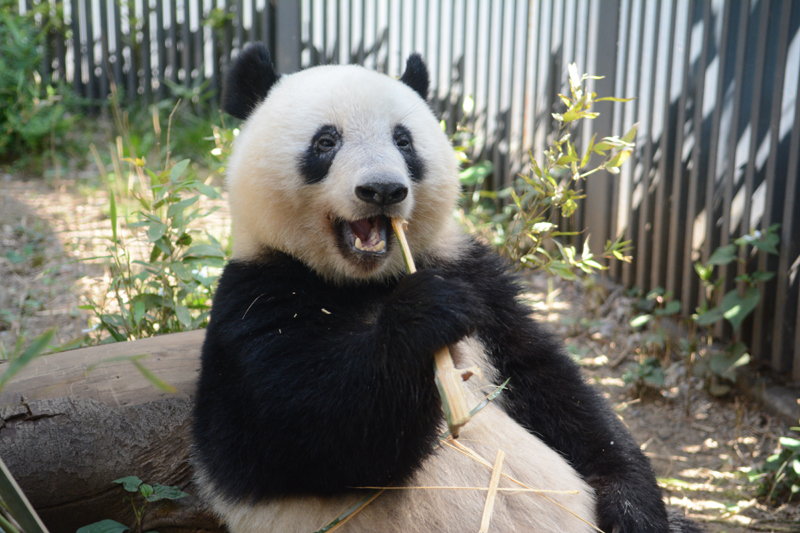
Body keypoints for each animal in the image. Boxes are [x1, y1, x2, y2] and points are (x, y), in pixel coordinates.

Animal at [192, 42, 700, 532]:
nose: (382, 190)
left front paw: (633, 507)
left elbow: (555, 388)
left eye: (403, 140)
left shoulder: (476, 279)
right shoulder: (257, 301)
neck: (366, 282)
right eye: (326, 141)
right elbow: (309, 431)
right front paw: (426, 313)